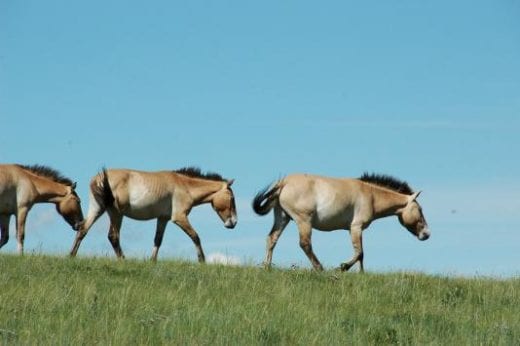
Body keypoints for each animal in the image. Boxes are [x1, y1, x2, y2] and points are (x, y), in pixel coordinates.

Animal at [69, 166, 238, 260]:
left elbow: (158, 240)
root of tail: (98, 178)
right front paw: (202, 260)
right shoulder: (179, 217)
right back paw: (123, 260)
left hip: (98, 209)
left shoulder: (162, 219)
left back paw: (71, 255)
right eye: (231, 198)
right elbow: (195, 236)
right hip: (116, 213)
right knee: (113, 236)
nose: (234, 222)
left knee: (83, 229)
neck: (185, 185)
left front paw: (152, 261)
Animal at [253, 173, 430, 274]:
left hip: (283, 217)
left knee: (272, 239)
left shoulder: (355, 230)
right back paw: (320, 269)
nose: (427, 234)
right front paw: (342, 267)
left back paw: (267, 267)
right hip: (303, 220)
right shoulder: (356, 227)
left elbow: (361, 255)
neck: (371, 196)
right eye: (420, 209)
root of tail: (283, 183)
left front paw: (361, 274)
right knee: (305, 244)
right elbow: (359, 253)